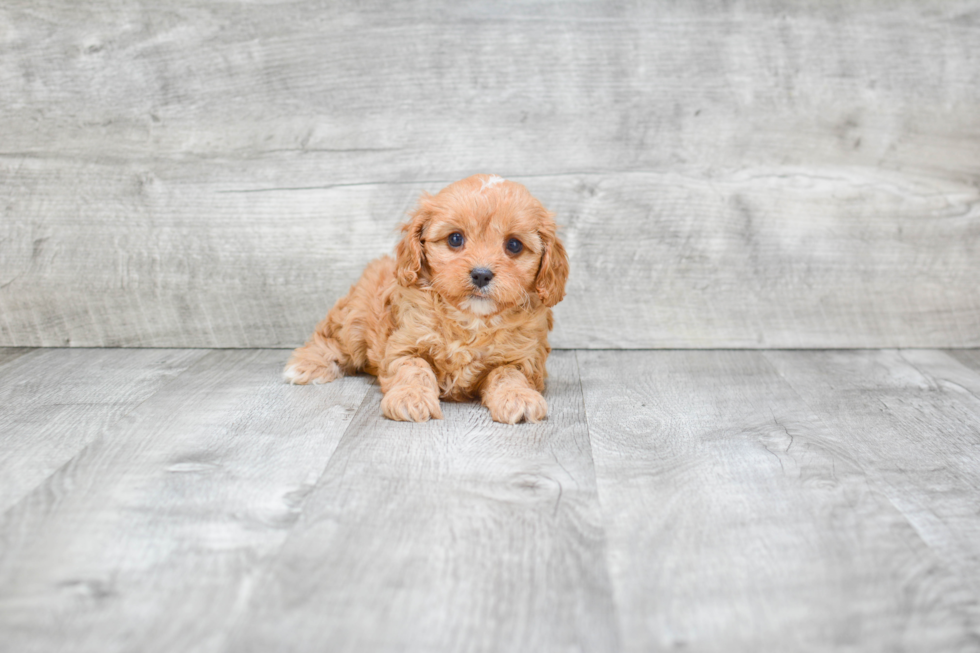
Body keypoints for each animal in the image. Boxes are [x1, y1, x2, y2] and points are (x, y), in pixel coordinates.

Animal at [282, 173, 568, 426]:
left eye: (514, 245)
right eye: (455, 239)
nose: (481, 274)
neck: (471, 320)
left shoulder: (524, 359)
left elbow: (507, 374)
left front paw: (518, 397)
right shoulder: (404, 345)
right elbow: (414, 368)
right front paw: (410, 398)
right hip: (354, 319)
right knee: (331, 340)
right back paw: (307, 365)